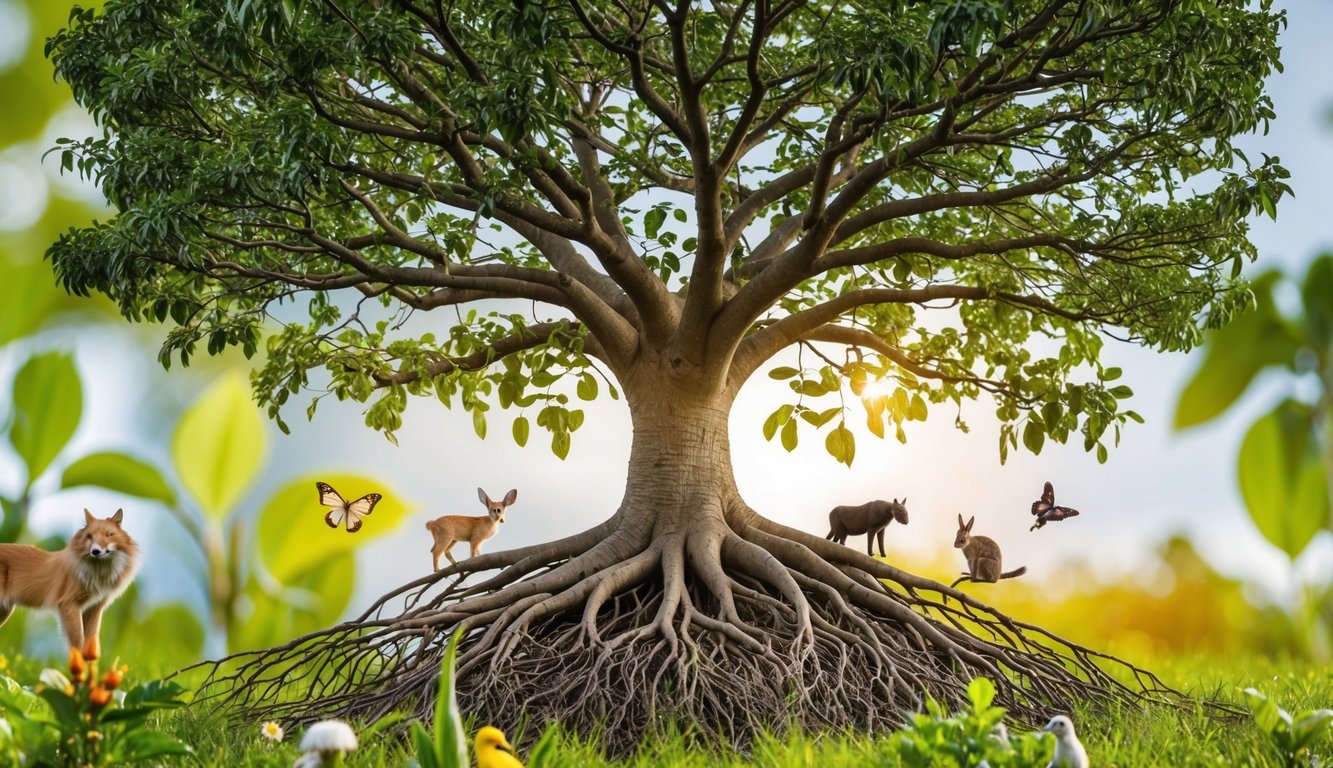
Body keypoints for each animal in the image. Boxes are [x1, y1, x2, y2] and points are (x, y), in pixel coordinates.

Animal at [0, 509, 139, 661]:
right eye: (89, 536)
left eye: (109, 534)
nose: (95, 551)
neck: (97, 576)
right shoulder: (69, 604)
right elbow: (78, 643)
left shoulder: (94, 607)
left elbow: (90, 646)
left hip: (5, 611)